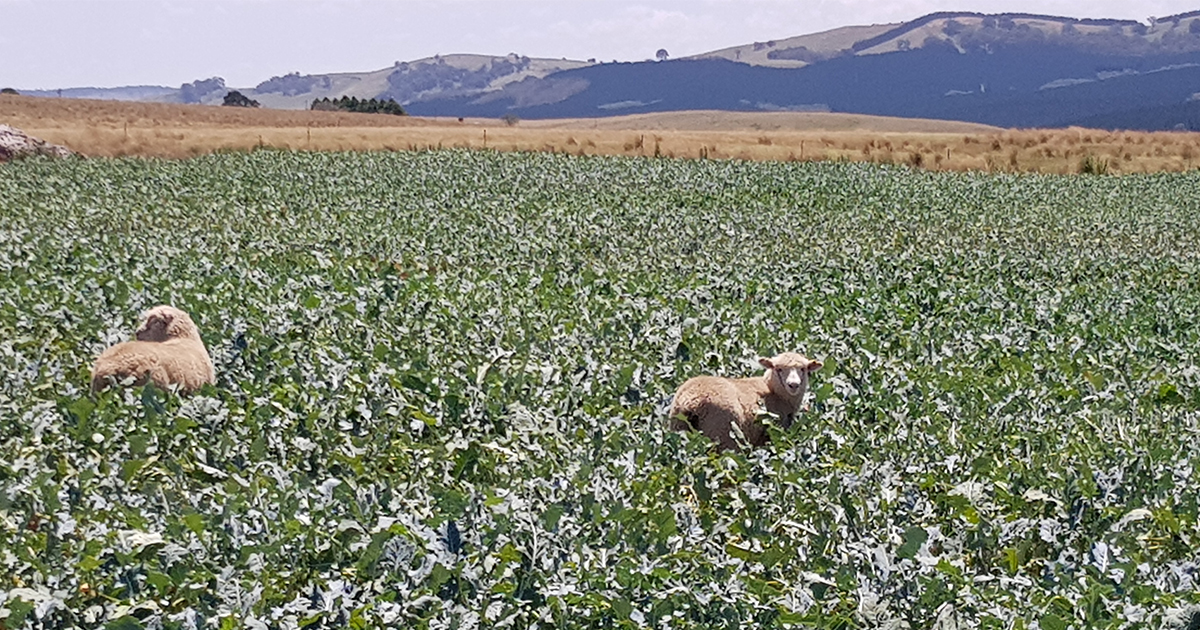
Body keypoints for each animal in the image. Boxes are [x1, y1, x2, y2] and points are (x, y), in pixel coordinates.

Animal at [668, 352, 822, 450]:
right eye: (778, 369)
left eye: (803, 369)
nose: (793, 385)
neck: (773, 391)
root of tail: (692, 402)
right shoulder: (771, 434)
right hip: (723, 436)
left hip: (678, 429)